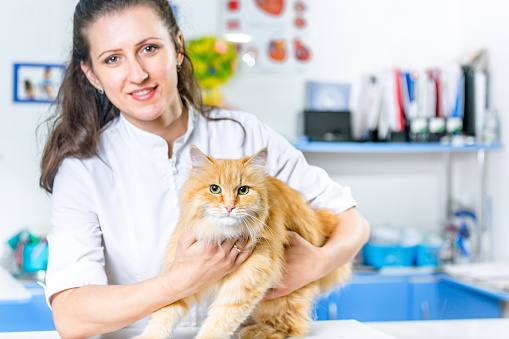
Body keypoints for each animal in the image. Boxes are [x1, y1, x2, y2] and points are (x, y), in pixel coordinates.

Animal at [137, 146, 352, 339]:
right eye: (214, 189)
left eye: (243, 190)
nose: (229, 207)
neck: (223, 234)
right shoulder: (184, 276)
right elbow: (164, 314)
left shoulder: (248, 278)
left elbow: (220, 319)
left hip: (280, 300)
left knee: (289, 327)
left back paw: (254, 331)